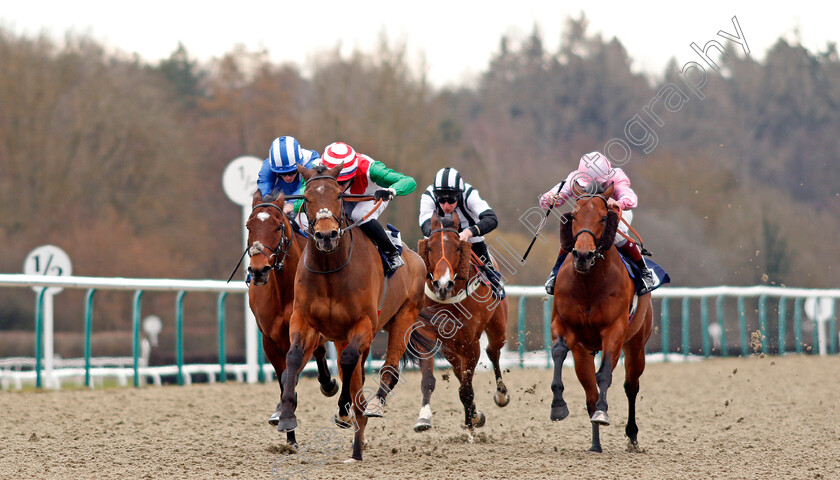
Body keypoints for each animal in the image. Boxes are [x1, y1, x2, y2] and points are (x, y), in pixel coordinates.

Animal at [248, 190, 340, 446]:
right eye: (248, 226)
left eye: (278, 226)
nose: (258, 270)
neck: (284, 289)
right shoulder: (269, 340)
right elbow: (283, 378)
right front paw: (287, 430)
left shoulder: (305, 332)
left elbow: (293, 370)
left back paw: (329, 384)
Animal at [274, 164, 426, 462]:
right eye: (307, 197)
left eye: (338, 195)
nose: (326, 235)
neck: (331, 270)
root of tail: (415, 256)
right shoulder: (304, 319)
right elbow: (294, 357)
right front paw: (286, 415)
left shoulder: (363, 323)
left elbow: (348, 362)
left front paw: (344, 410)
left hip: (404, 317)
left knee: (388, 369)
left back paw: (372, 410)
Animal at [410, 212, 508, 436]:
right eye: (430, 247)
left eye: (456, 247)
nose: (442, 285)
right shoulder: (427, 335)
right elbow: (428, 380)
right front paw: (424, 418)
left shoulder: (471, 342)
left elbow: (466, 389)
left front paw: (470, 429)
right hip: (450, 347)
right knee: (458, 371)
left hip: (498, 327)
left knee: (493, 351)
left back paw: (501, 395)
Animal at [552, 181, 656, 454]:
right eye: (574, 216)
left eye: (602, 217)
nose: (582, 255)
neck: (589, 282)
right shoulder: (565, 327)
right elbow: (558, 352)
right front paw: (558, 405)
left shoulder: (614, 331)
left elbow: (605, 374)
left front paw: (602, 413)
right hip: (584, 353)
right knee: (589, 392)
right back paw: (595, 444)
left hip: (636, 345)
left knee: (631, 386)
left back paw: (632, 436)